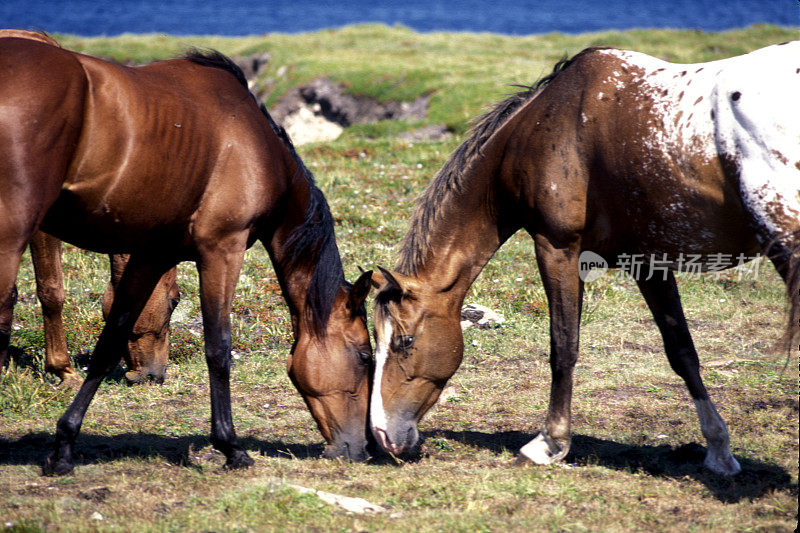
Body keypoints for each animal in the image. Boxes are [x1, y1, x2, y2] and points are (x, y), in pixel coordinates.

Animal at [368, 41, 800, 474]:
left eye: (404, 341)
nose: (382, 435)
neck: (541, 128)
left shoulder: (558, 248)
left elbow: (564, 345)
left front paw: (548, 442)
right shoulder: (648, 263)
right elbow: (682, 352)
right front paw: (719, 451)